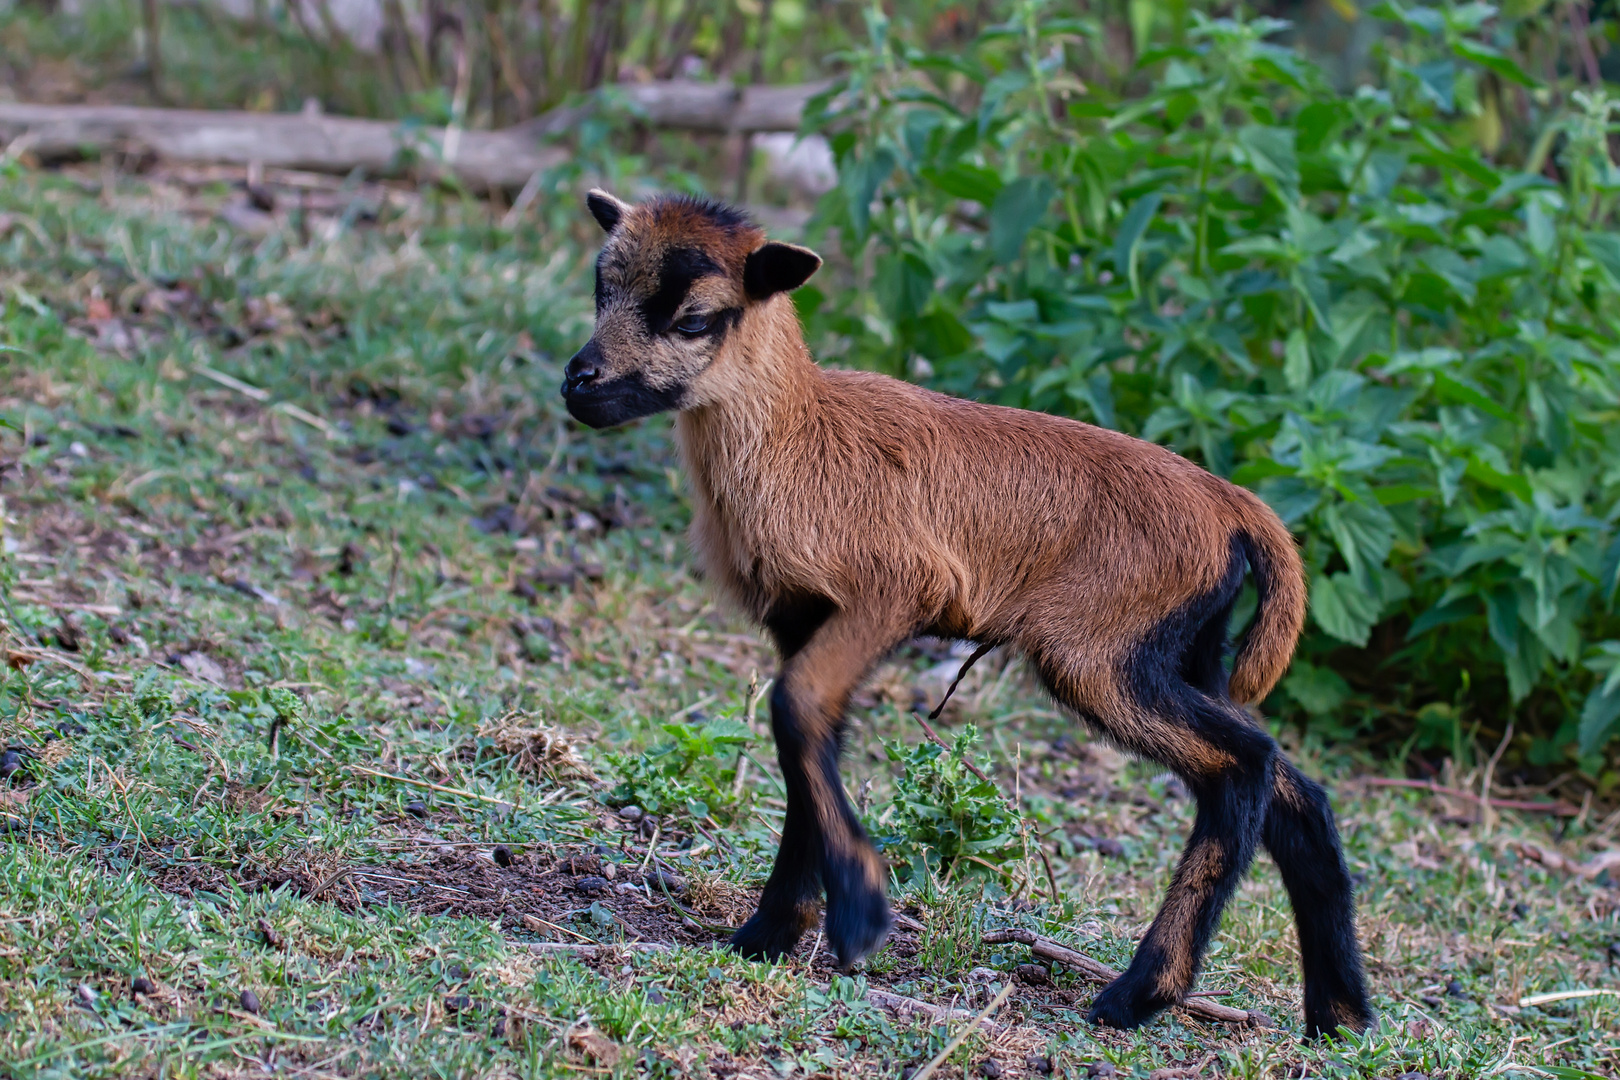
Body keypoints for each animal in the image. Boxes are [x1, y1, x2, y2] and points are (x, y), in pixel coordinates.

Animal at [563, 191, 1373, 1036]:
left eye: (695, 319)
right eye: (601, 287)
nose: (579, 382)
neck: (796, 439)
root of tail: (1235, 506)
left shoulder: (897, 585)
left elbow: (796, 709)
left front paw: (857, 915)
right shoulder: (802, 618)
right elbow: (806, 745)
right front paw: (769, 933)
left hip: (1100, 651)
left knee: (1242, 764)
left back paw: (1137, 994)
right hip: (1187, 650)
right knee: (1295, 790)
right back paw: (1339, 1017)